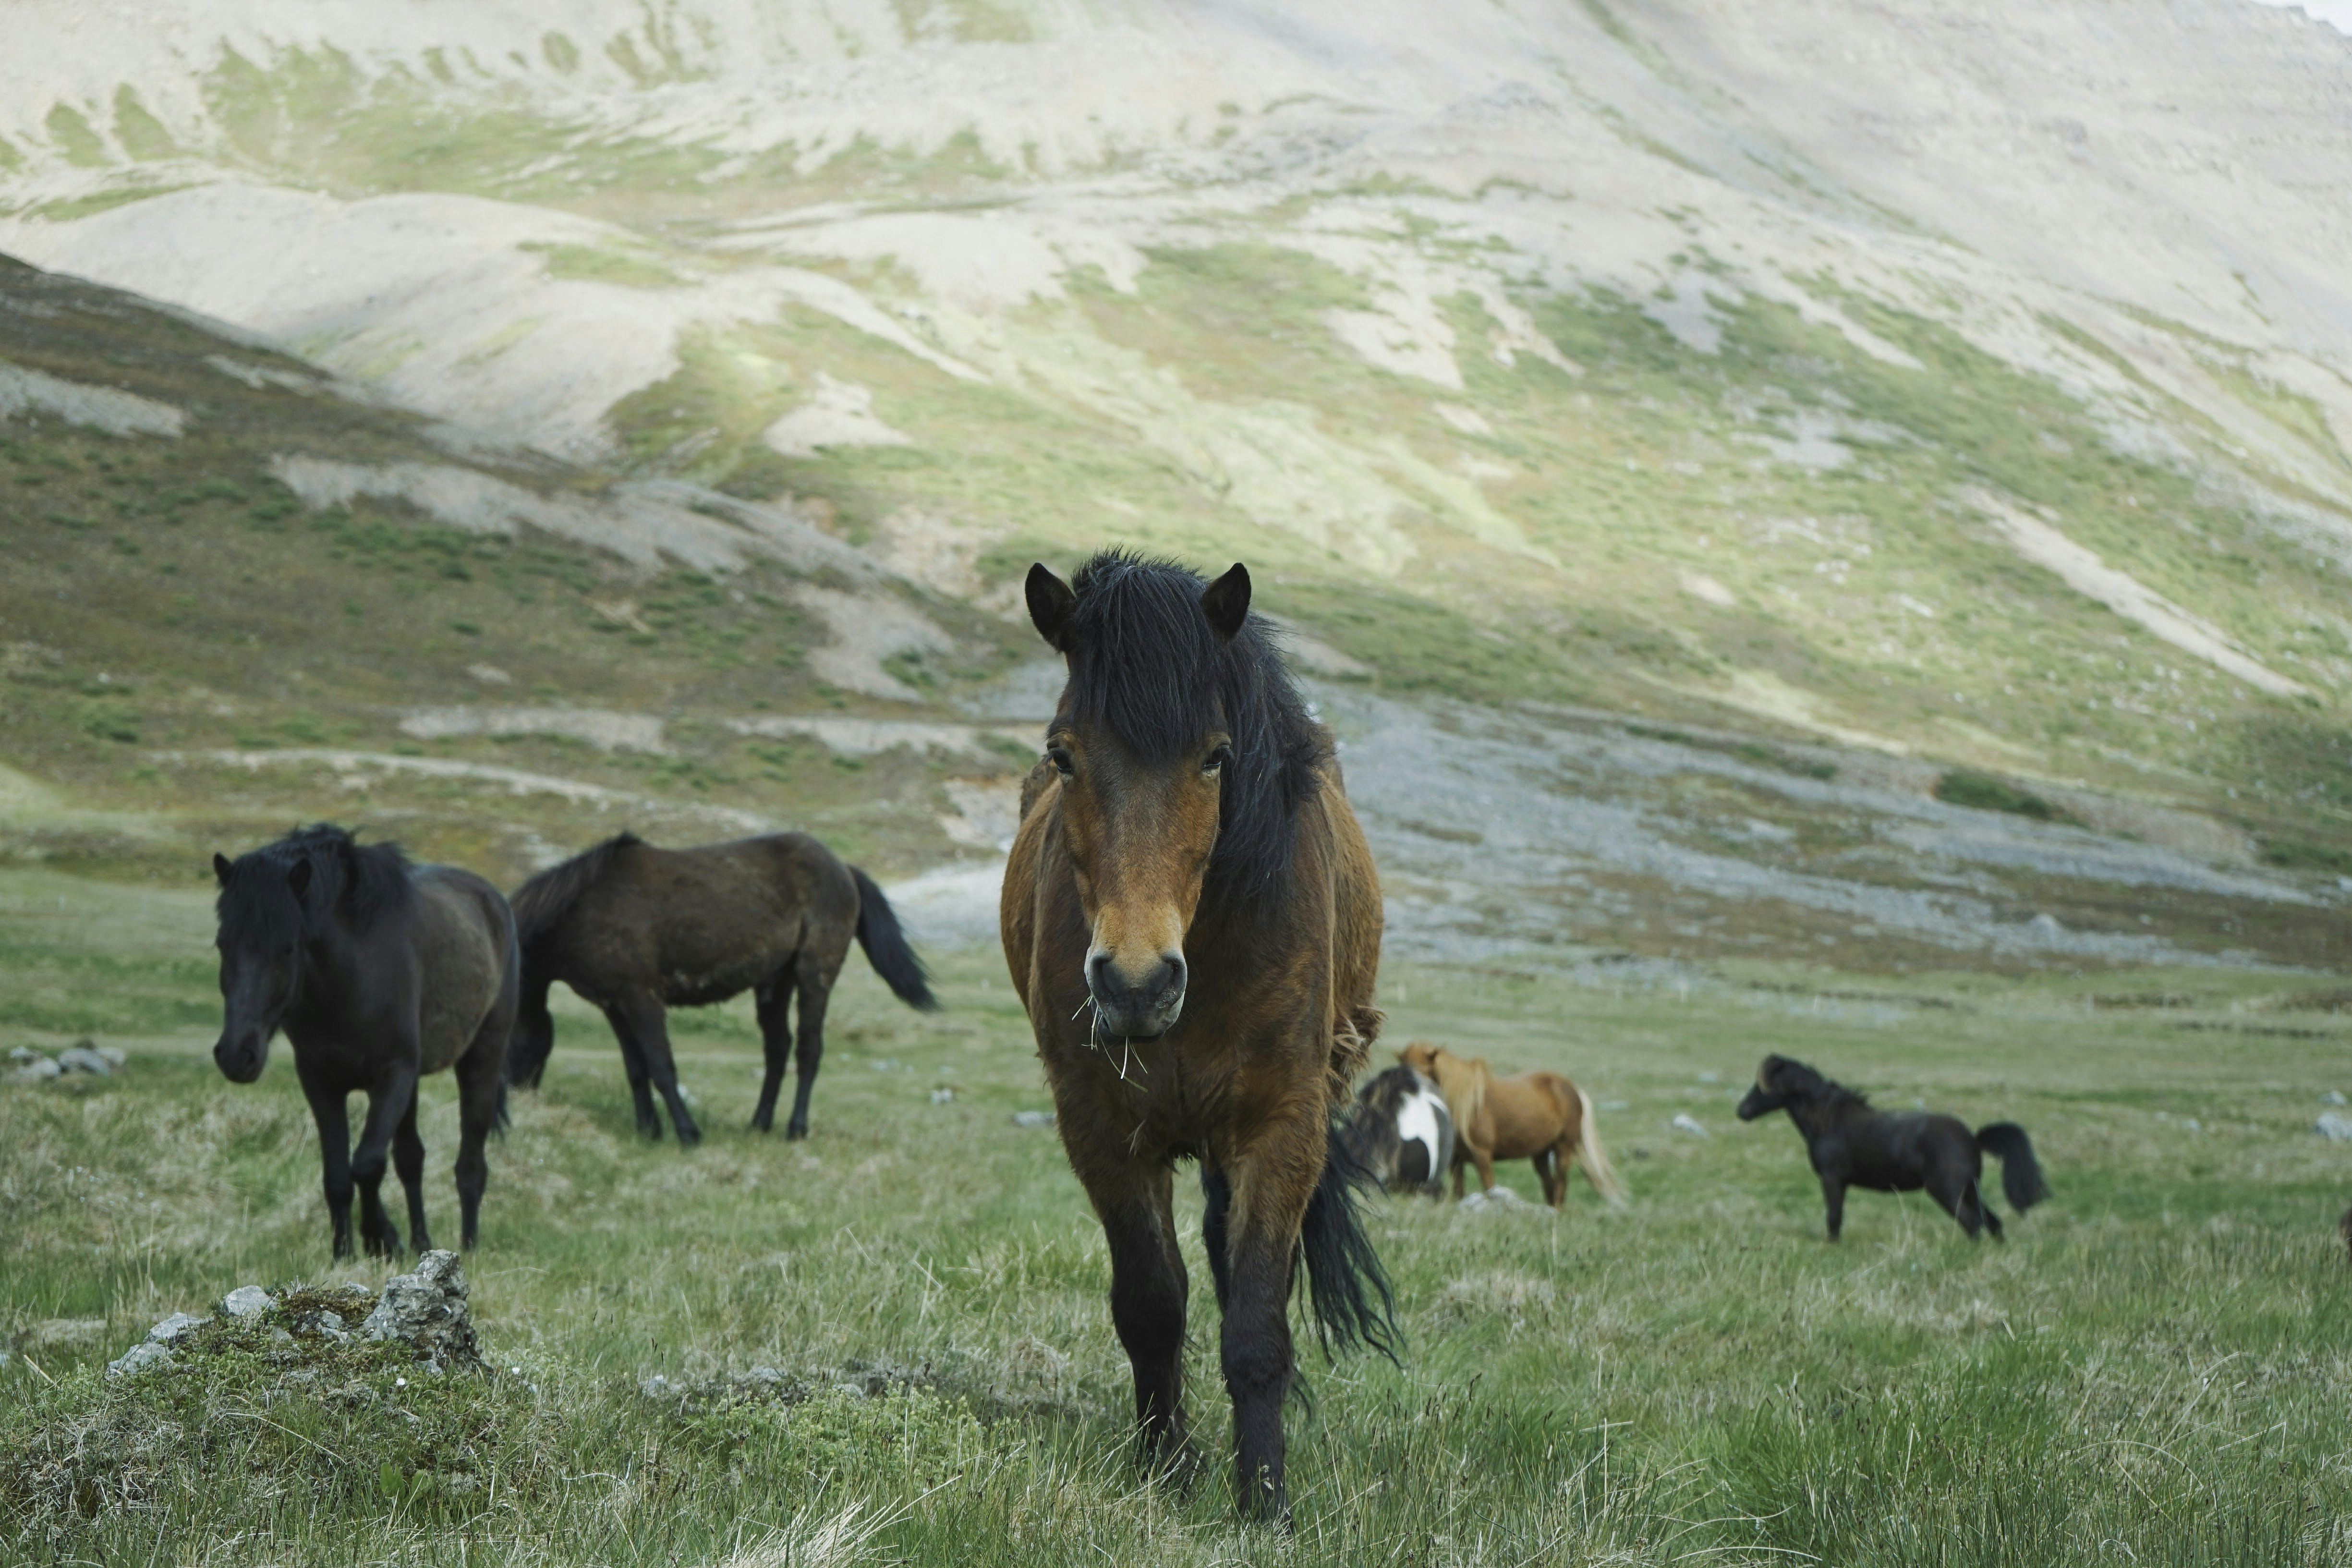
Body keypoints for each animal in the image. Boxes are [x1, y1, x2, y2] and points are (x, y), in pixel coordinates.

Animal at [213, 827, 520, 1260]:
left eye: (287, 947)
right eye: (223, 944)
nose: (236, 1055)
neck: (352, 978)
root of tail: (494, 900)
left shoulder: (392, 1077)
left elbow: (367, 1164)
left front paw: (381, 1238)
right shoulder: (320, 1081)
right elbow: (339, 1175)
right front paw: (344, 1252)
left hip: (482, 1062)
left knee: (471, 1165)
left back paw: (469, 1245)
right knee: (411, 1159)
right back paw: (422, 1242)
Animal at [510, 827, 931, 1147]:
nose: (517, 1097)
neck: (582, 909)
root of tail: (843, 868)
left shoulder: (642, 999)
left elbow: (661, 1066)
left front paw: (687, 1134)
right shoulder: (615, 1005)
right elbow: (636, 1069)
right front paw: (649, 1131)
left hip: (816, 975)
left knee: (809, 1050)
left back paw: (796, 1129)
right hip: (775, 983)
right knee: (778, 1049)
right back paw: (759, 1123)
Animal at [997, 552, 1392, 1523]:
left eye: (1215, 756)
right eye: (1063, 755)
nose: (1136, 984)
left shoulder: (1280, 1129)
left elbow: (1254, 1320)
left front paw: (1264, 1500)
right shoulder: (1102, 1132)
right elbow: (1151, 1306)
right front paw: (1167, 1469)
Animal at [1383, 1048, 1627, 1213]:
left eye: (1425, 1072)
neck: (1464, 1107)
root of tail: (1572, 1088)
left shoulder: (1482, 1156)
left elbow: (1489, 1187)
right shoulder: (1456, 1161)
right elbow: (1459, 1191)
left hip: (1563, 1148)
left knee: (1560, 1183)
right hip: (1540, 1154)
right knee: (1549, 1184)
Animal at [1740, 1062, 2051, 1241]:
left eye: (1762, 1087)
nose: (1741, 1111)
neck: (1830, 1121)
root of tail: (1973, 1140)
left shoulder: (1832, 1180)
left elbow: (1834, 1219)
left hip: (1949, 1193)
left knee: (1973, 1223)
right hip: (1970, 1191)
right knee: (1992, 1223)